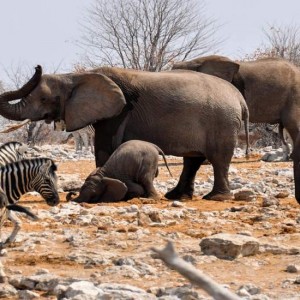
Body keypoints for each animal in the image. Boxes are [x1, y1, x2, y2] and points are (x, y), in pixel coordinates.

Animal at [0, 66, 248, 202]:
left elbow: (105, 148)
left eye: (44, 99)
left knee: (218, 159)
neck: (76, 76)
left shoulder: (118, 111)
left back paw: (216, 197)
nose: (38, 66)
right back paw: (175, 196)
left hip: (222, 122)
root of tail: (239, 98)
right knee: (193, 160)